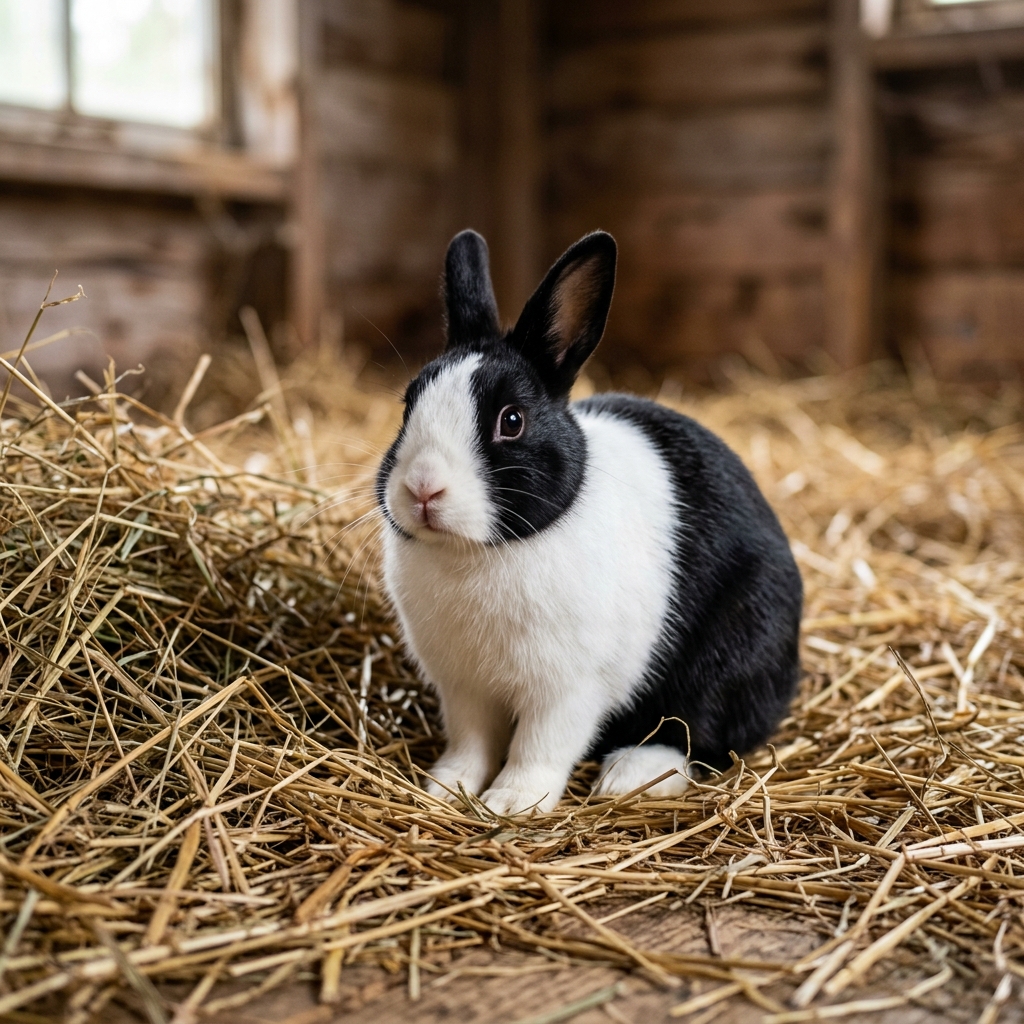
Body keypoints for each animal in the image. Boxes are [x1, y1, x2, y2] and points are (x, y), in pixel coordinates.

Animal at [375, 228, 802, 816]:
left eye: (512, 421)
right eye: (406, 407)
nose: (422, 489)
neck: (479, 553)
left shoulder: (568, 689)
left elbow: (540, 746)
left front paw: (510, 803)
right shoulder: (464, 687)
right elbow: (471, 741)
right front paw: (446, 788)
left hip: (731, 655)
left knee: (697, 731)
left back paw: (630, 775)